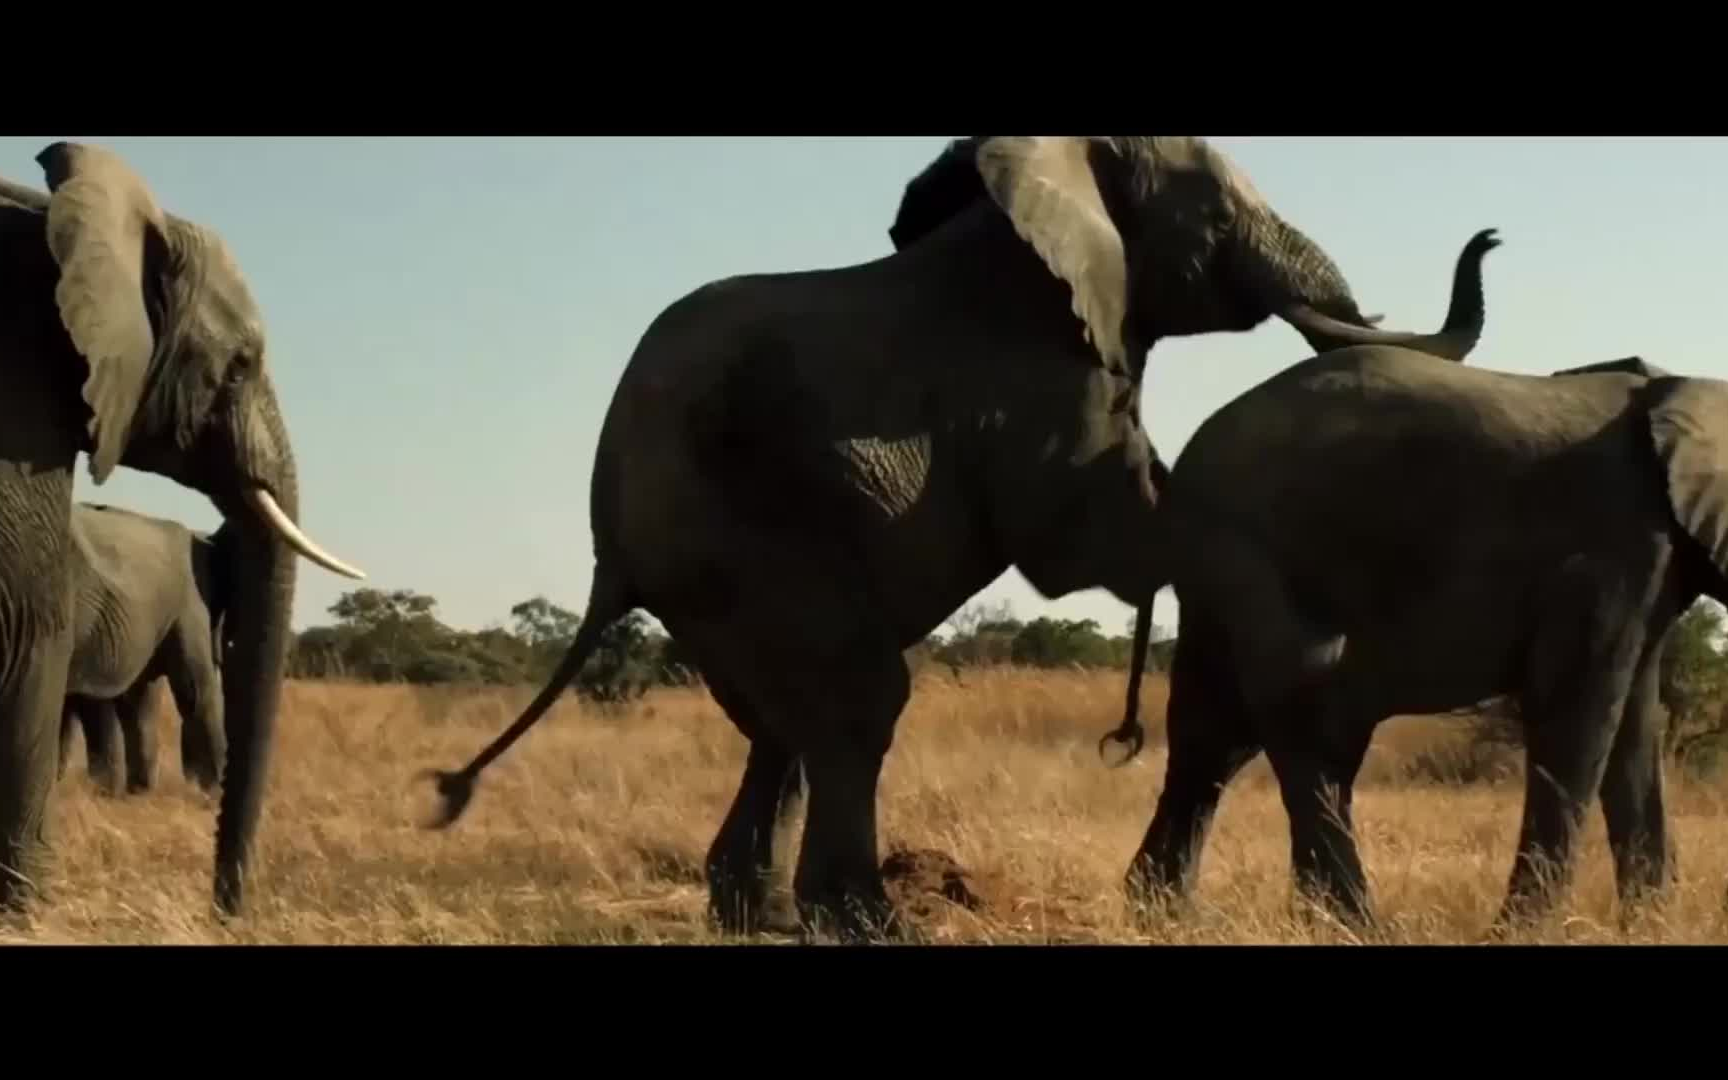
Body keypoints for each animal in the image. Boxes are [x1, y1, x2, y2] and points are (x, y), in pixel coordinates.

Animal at [419, 135, 1495, 942]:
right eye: (1220, 224)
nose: (1489, 236)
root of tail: (609, 551)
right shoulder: (1033, 381)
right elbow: (1086, 542)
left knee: (786, 724)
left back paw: (760, 917)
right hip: (733, 532)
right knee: (857, 700)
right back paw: (866, 921)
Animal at [1109, 343, 1728, 935]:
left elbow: (1634, 732)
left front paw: (1652, 929)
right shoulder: (1614, 548)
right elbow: (1578, 711)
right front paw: (1522, 934)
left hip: (1219, 575)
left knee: (1211, 735)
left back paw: (1167, 918)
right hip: (1258, 551)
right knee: (1309, 718)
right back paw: (1355, 927)